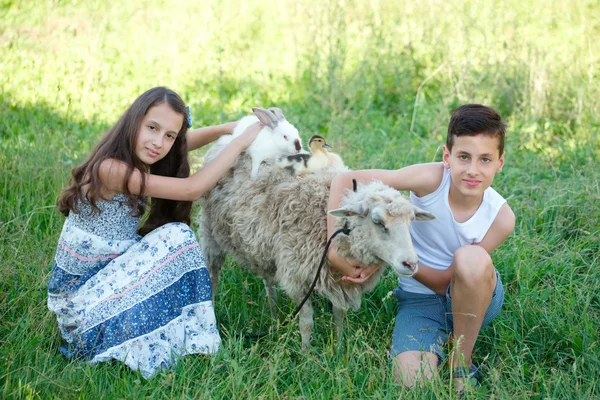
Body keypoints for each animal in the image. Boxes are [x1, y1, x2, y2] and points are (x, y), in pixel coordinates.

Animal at [197, 154, 436, 350]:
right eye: (377, 221)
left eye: (411, 221)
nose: (411, 264)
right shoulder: (298, 276)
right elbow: (306, 324)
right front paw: (306, 356)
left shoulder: (340, 281)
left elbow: (339, 316)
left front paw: (339, 349)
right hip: (211, 234)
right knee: (212, 277)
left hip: (263, 248)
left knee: (267, 280)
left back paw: (274, 315)